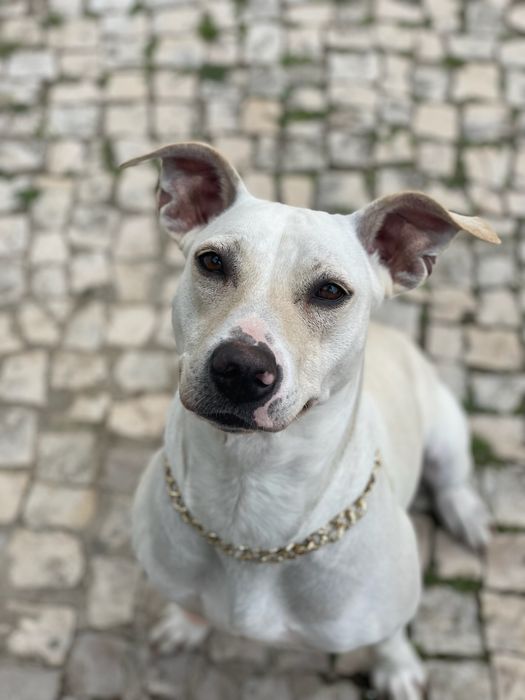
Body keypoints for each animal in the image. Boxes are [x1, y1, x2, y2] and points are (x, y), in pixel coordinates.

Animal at [123, 142, 499, 699]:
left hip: (446, 427)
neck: (251, 494)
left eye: (331, 291)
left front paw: (396, 668)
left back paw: (466, 514)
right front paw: (185, 625)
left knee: (452, 477)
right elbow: (189, 606)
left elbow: (390, 636)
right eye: (211, 262)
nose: (241, 368)